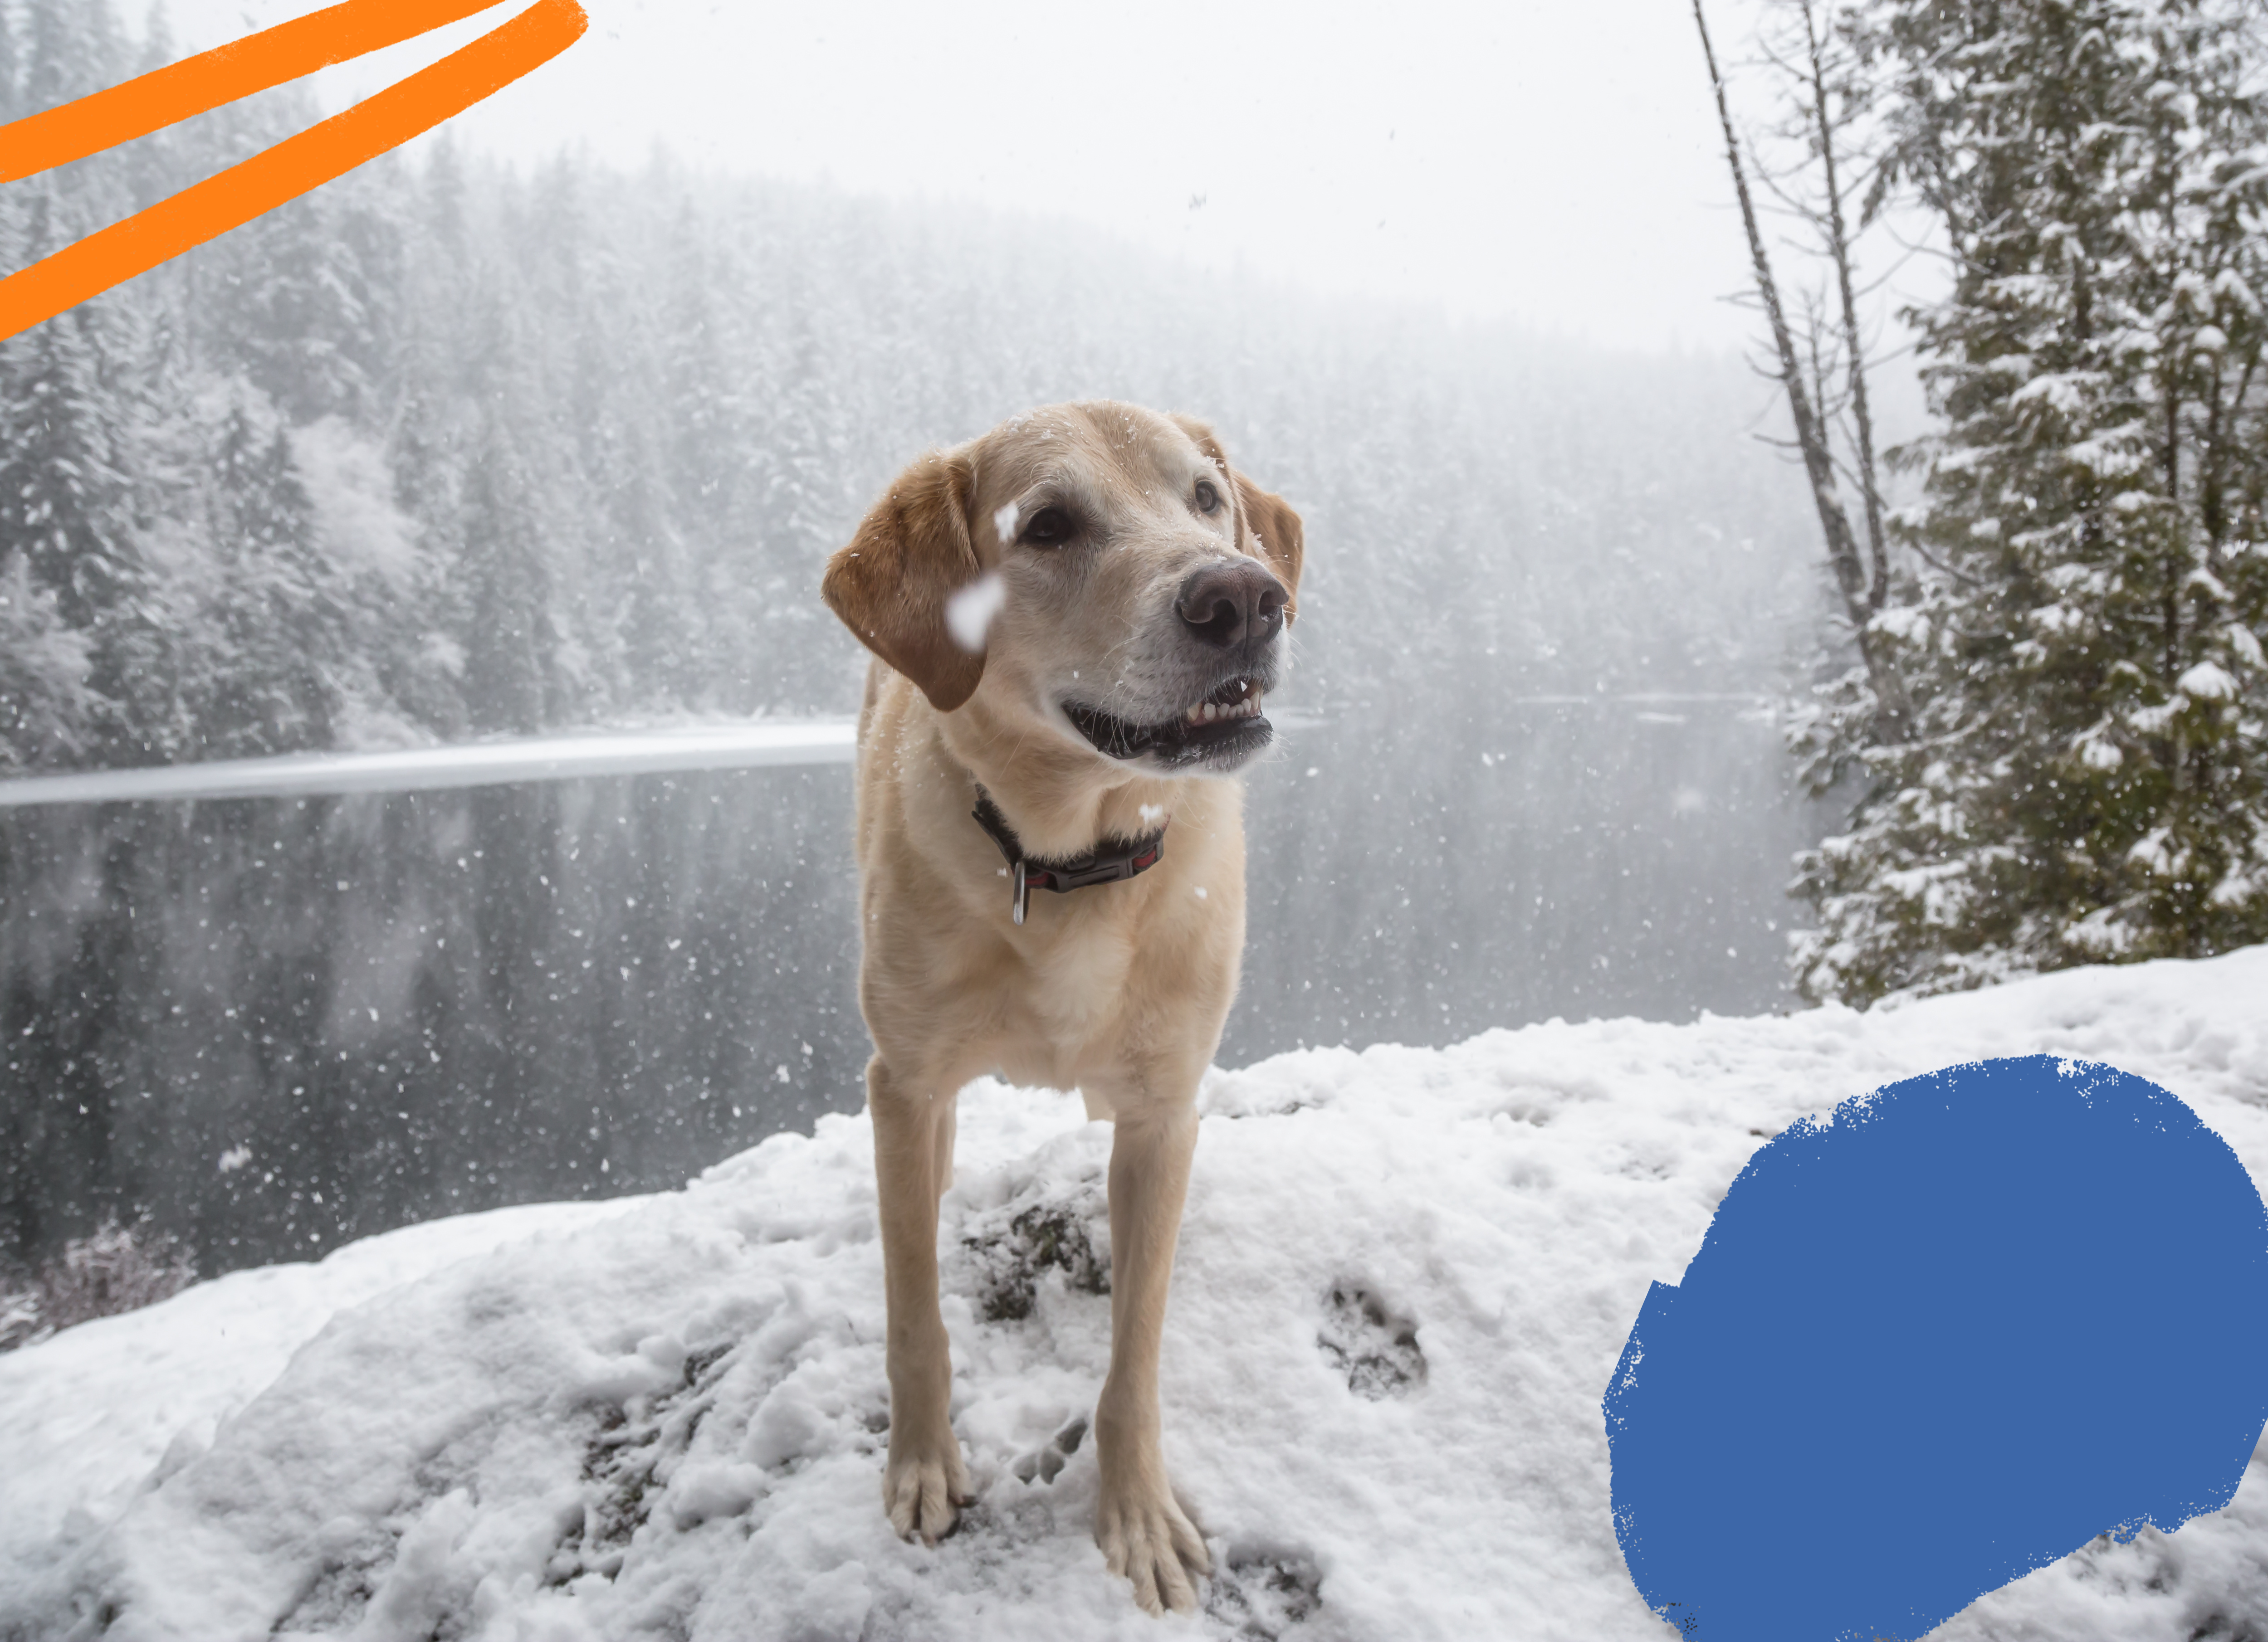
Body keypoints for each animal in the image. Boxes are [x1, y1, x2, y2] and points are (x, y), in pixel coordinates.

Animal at [826, 401, 1306, 1614]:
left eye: (1204, 498)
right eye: (1046, 525)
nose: (1244, 599)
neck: (1075, 864)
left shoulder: (1162, 1112)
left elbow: (1134, 1351)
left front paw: (1134, 1517)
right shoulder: (902, 1081)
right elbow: (913, 1311)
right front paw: (922, 1464)